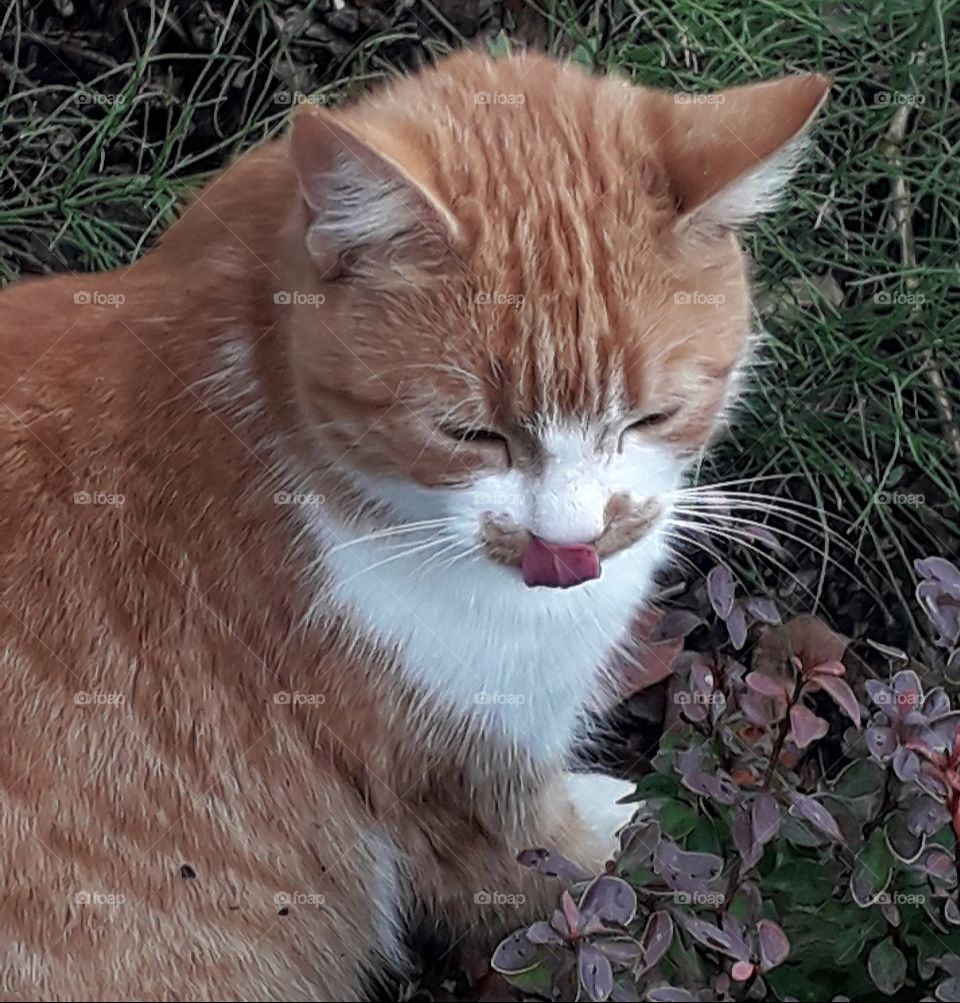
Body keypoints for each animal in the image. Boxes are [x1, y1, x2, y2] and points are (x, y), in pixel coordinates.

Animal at [0, 50, 822, 998]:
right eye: (470, 434)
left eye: (652, 418)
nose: (572, 546)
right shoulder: (456, 789)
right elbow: (568, 868)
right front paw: (639, 832)